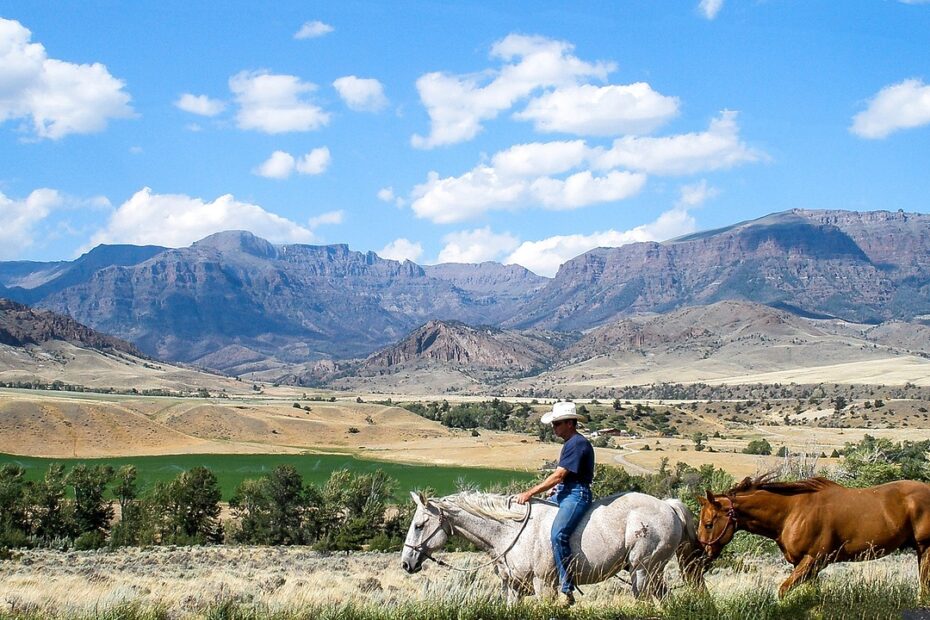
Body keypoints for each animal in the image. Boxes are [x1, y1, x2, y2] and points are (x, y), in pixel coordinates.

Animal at [398, 490, 704, 600]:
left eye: (419, 525)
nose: (406, 563)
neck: (510, 532)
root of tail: (667, 505)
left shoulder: (544, 584)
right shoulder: (514, 587)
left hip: (643, 571)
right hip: (653, 572)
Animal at [700, 474, 928, 596]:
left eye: (709, 524)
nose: (703, 554)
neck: (792, 512)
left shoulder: (812, 560)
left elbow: (783, 590)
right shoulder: (805, 566)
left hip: (925, 547)